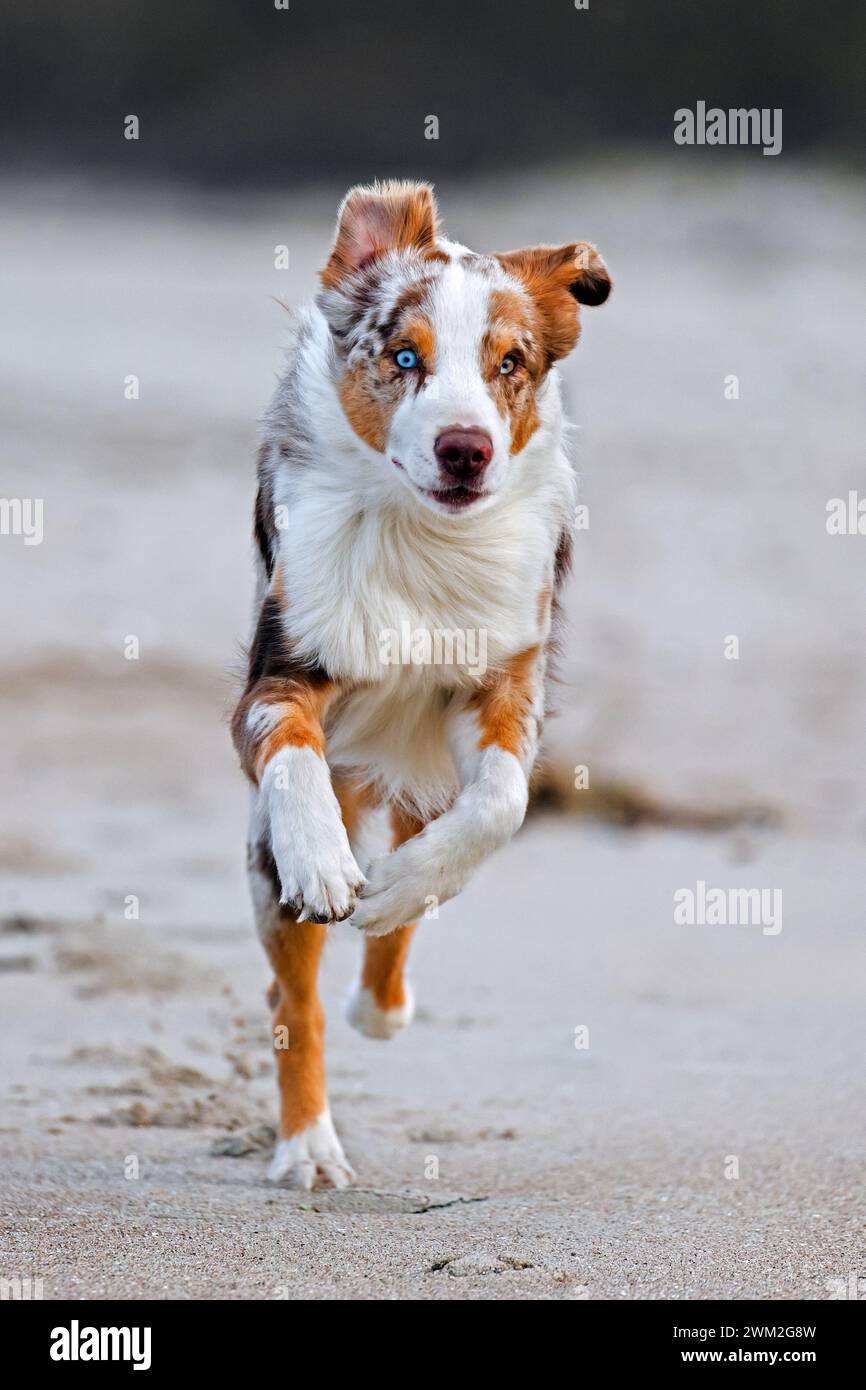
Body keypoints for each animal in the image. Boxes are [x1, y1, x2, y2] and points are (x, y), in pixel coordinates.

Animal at [230, 179, 608, 1189]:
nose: (465, 448)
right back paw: (310, 1149)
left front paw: (397, 890)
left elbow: (501, 805)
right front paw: (326, 861)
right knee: (293, 1000)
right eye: (405, 357)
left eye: (510, 362)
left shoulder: (505, 682)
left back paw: (384, 992)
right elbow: (291, 753)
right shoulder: (280, 672)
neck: (419, 538)